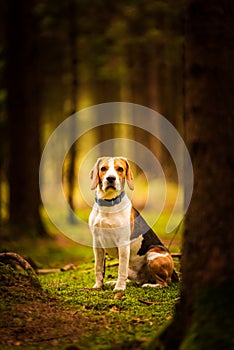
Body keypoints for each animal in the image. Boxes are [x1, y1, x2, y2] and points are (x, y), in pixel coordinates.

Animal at [88, 157, 176, 292]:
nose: (110, 178)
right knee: (135, 279)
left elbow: (121, 270)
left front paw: (119, 288)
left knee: (163, 283)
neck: (108, 204)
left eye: (120, 169)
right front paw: (98, 285)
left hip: (153, 254)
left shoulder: (123, 244)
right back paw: (114, 282)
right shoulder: (97, 244)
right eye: (103, 169)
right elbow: (98, 267)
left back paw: (150, 285)